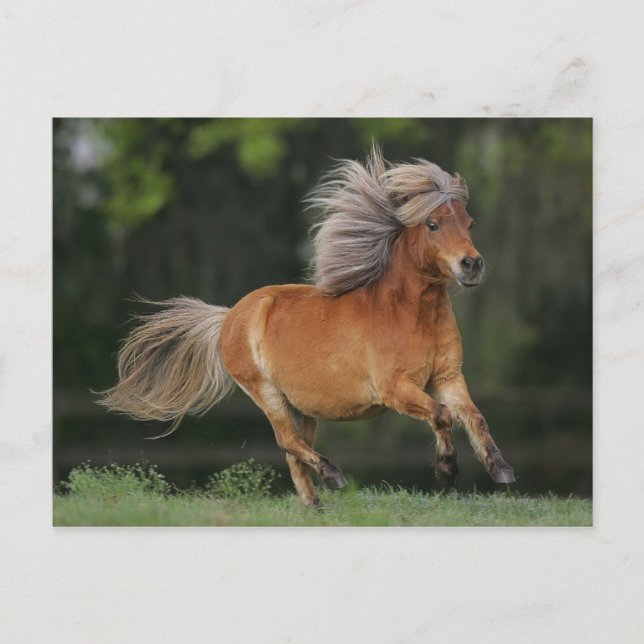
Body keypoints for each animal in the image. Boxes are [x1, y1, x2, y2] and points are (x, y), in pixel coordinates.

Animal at [100, 146, 516, 508]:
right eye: (432, 224)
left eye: (469, 222)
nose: (471, 264)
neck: (410, 315)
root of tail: (229, 316)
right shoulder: (395, 389)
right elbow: (442, 415)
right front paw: (447, 472)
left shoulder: (447, 377)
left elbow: (475, 417)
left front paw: (501, 471)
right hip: (265, 391)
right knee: (287, 441)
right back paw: (334, 477)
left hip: (300, 405)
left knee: (294, 453)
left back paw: (315, 506)